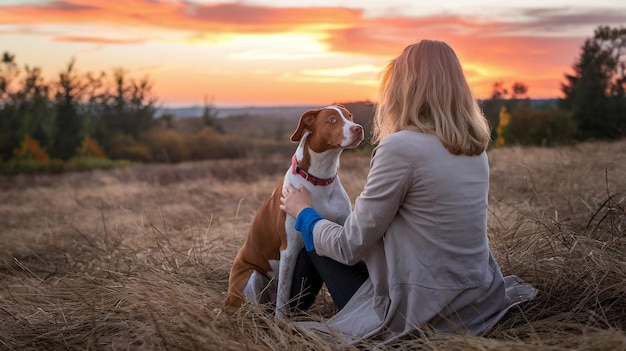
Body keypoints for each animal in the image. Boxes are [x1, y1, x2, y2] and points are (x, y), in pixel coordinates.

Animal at [224, 105, 364, 320]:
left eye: (350, 117)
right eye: (332, 120)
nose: (358, 128)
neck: (320, 179)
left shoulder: (339, 230)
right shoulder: (288, 249)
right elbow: (283, 295)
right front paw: (281, 323)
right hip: (251, 277)